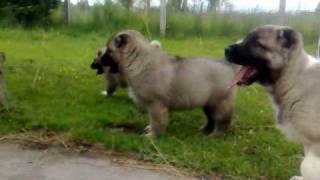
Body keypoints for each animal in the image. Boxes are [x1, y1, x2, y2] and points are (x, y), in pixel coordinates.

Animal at [102, 30, 238, 137]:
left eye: (109, 51)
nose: (100, 61)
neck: (137, 59)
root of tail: (228, 65)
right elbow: (152, 121)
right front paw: (150, 130)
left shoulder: (156, 105)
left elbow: (157, 122)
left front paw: (152, 135)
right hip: (208, 103)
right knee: (211, 119)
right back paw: (204, 130)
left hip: (220, 103)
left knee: (222, 121)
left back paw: (215, 135)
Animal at [225, 24, 320, 180]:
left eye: (257, 43)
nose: (225, 50)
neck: (292, 78)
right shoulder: (308, 142)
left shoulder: (315, 142)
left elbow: (306, 166)